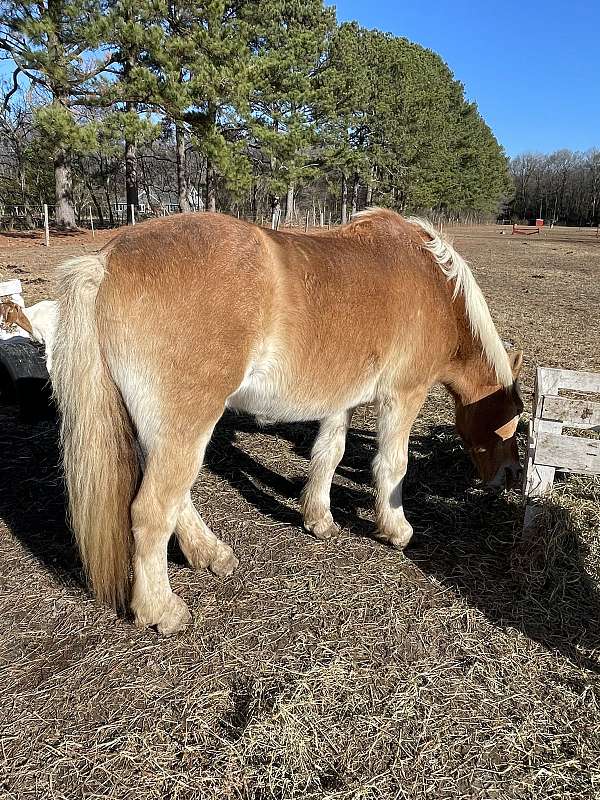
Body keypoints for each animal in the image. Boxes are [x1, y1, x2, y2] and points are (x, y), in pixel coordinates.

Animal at [52, 209, 520, 636]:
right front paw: (396, 530)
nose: (508, 478)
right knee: (152, 512)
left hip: (163, 432)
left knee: (176, 502)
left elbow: (329, 455)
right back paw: (163, 610)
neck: (436, 284)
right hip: (186, 427)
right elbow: (392, 466)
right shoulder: (403, 395)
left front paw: (318, 519)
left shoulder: (341, 400)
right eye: (511, 426)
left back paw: (211, 554)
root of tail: (106, 262)